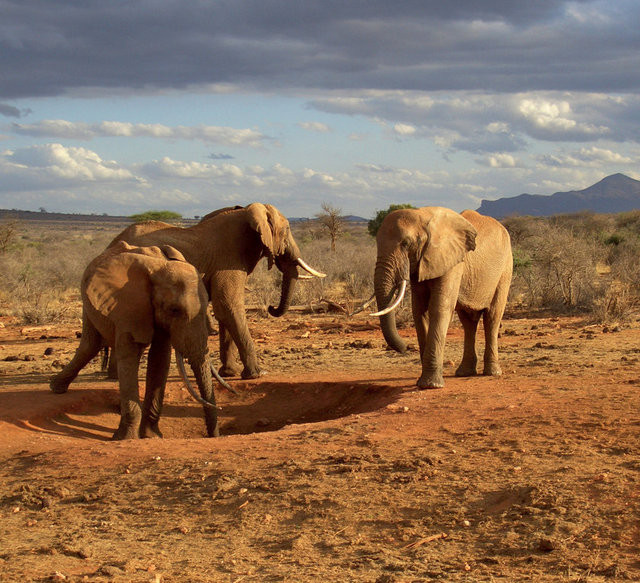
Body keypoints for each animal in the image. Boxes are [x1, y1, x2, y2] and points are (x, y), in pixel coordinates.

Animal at [48, 244, 222, 440]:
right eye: (174, 310)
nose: (213, 436)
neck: (158, 271)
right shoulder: (128, 307)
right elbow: (129, 354)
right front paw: (125, 438)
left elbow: (159, 359)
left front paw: (152, 436)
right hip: (89, 303)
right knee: (90, 345)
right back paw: (56, 388)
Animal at [107, 203, 324, 380]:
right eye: (287, 230)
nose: (271, 307)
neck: (247, 212)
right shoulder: (228, 260)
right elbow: (228, 306)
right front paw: (258, 374)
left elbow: (225, 309)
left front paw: (229, 373)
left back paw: (114, 376)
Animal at [372, 208, 512, 390]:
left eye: (406, 244)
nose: (405, 347)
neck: (423, 216)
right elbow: (419, 310)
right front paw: (423, 383)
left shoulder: (452, 262)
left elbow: (439, 308)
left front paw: (431, 385)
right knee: (468, 322)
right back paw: (464, 372)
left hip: (505, 269)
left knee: (492, 317)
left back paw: (492, 373)